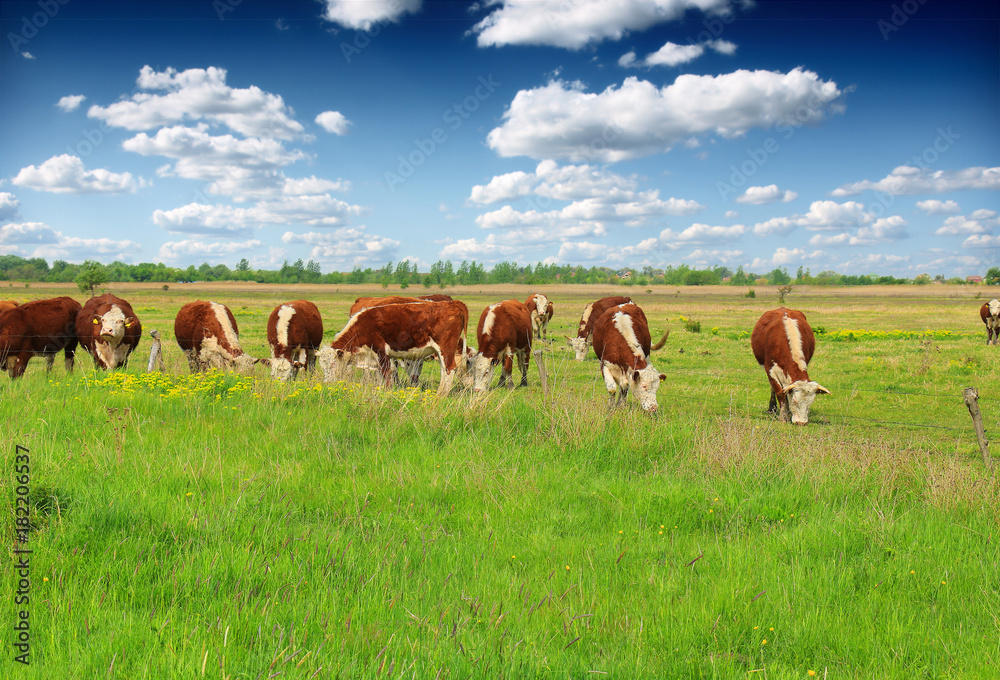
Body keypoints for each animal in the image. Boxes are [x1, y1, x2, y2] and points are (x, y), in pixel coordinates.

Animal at [318, 300, 470, 396]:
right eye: (323, 366)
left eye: (332, 365)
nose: (327, 384)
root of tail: (453, 303)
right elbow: (382, 375)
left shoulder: (381, 351)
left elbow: (386, 373)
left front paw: (387, 392)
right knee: (445, 370)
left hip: (446, 348)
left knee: (449, 369)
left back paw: (440, 395)